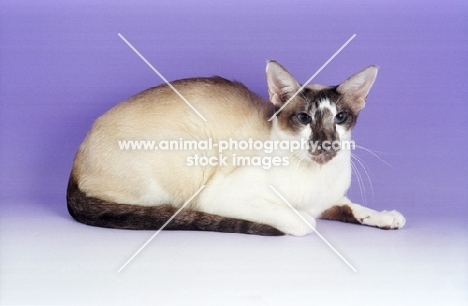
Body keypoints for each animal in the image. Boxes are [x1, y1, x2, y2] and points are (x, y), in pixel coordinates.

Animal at [66, 60, 406, 237]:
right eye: (304, 119)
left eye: (340, 118)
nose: (325, 142)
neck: (316, 178)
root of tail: (76, 156)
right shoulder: (226, 196)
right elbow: (304, 221)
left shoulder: (327, 199)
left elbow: (352, 206)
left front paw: (385, 217)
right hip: (196, 156)